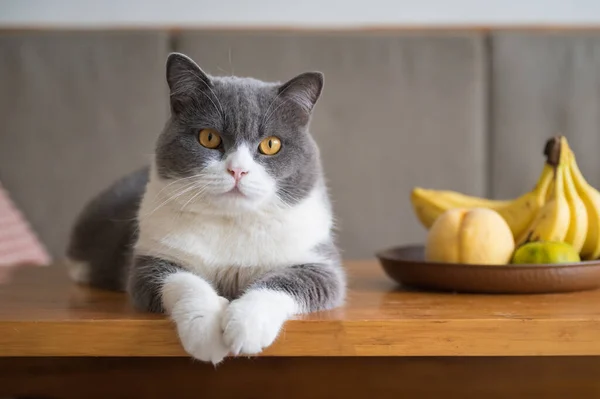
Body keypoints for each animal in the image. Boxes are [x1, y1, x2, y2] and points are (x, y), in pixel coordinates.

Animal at [65, 53, 346, 366]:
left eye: (271, 144)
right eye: (209, 138)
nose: (238, 170)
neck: (232, 222)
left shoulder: (318, 263)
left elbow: (285, 282)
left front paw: (246, 326)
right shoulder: (151, 260)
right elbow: (184, 282)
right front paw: (207, 333)